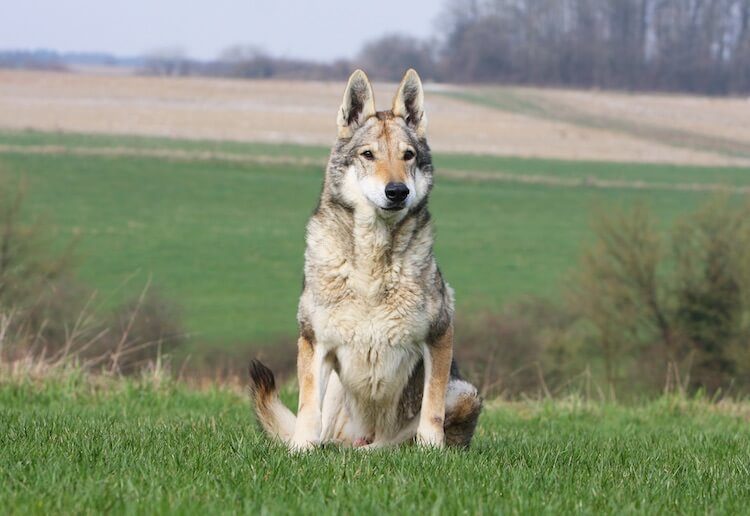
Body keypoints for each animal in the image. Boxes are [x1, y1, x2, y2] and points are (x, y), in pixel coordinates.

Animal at [247, 69, 482, 452]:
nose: (397, 191)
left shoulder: (439, 335)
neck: (372, 264)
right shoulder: (315, 341)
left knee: (390, 444)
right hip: (336, 389)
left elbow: (431, 411)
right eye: (368, 154)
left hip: (465, 393)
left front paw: (432, 452)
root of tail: (359, 439)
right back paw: (328, 447)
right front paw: (300, 449)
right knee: (331, 429)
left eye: (408, 155)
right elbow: (307, 407)